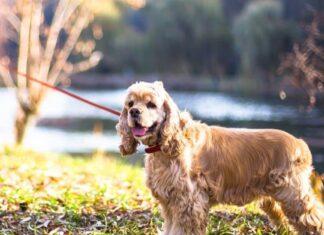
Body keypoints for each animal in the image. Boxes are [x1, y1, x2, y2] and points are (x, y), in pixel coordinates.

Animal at [115, 81, 322, 234]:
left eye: (151, 105)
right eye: (130, 104)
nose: (134, 112)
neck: (165, 147)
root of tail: (300, 143)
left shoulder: (189, 203)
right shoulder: (170, 203)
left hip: (294, 196)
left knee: (315, 219)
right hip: (272, 199)